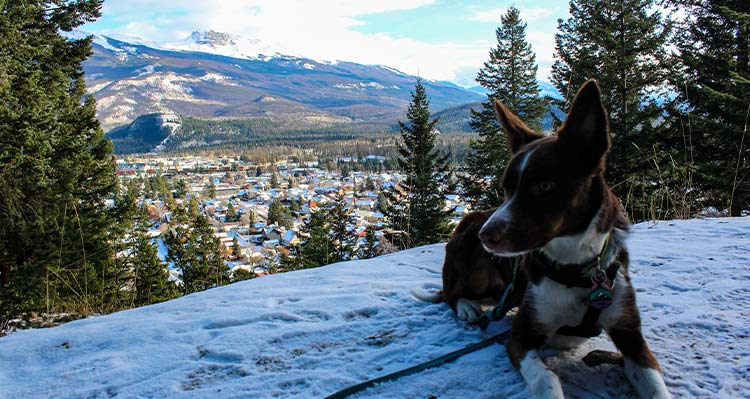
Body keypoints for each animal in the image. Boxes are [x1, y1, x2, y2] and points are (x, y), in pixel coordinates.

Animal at [482, 79, 676, 399]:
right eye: (506, 188)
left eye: (545, 186)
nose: (485, 235)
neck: (575, 269)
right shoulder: (521, 337)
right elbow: (546, 378)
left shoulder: (630, 333)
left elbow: (655, 384)